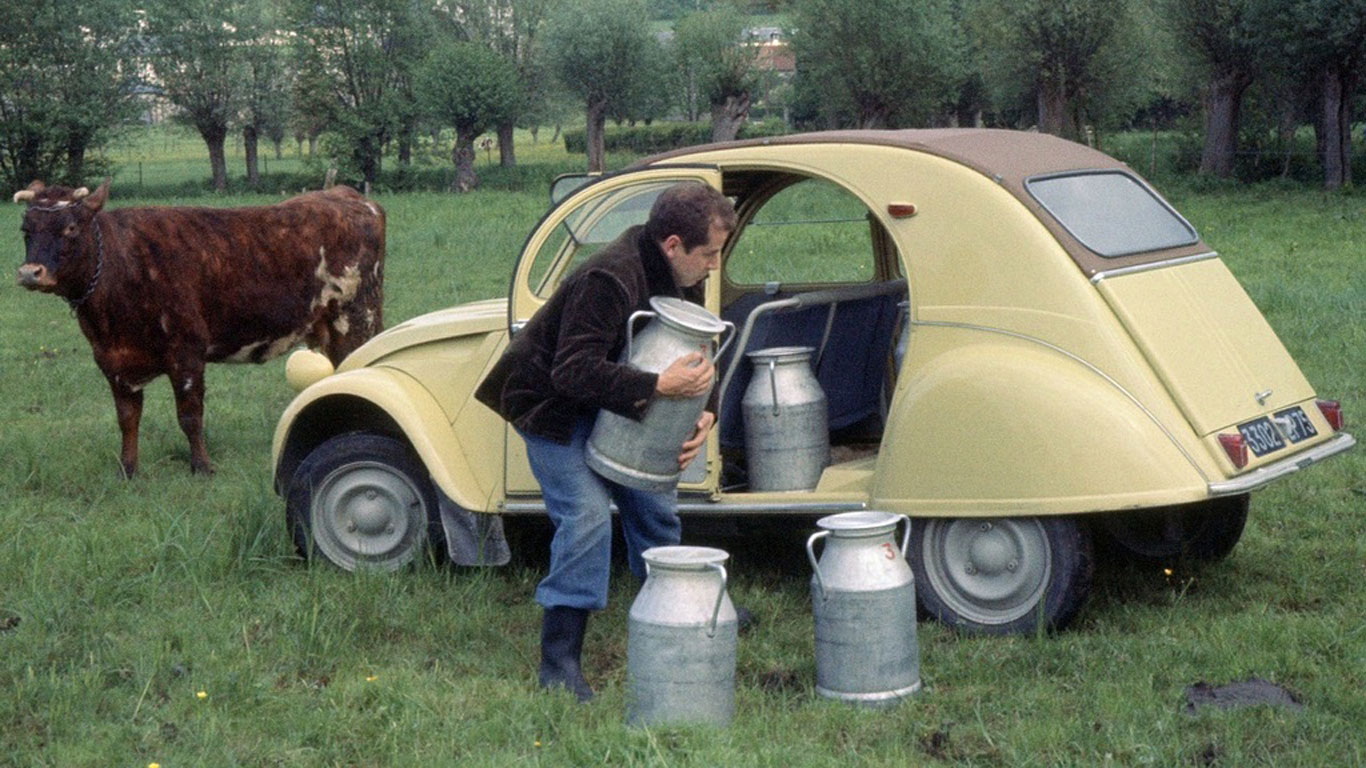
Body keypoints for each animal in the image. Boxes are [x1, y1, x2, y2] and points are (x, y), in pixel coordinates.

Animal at [16, 181, 387, 475]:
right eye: (26, 230)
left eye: (70, 228)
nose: (30, 272)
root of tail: (346, 195)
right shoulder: (112, 362)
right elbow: (127, 418)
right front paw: (128, 469)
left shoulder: (186, 353)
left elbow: (190, 416)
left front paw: (202, 467)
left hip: (357, 319)